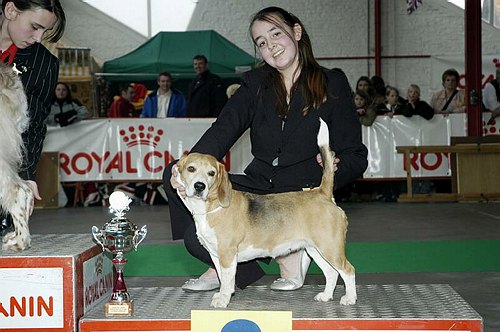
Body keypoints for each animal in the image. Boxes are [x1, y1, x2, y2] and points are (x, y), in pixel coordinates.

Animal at [175, 118, 356, 308]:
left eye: (211, 173)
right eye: (191, 169)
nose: (199, 186)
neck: (211, 207)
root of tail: (322, 193)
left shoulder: (227, 254)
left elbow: (227, 280)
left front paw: (223, 299)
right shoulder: (216, 254)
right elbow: (223, 279)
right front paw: (223, 295)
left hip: (331, 248)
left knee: (348, 270)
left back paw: (350, 298)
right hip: (315, 249)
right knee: (331, 272)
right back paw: (326, 296)